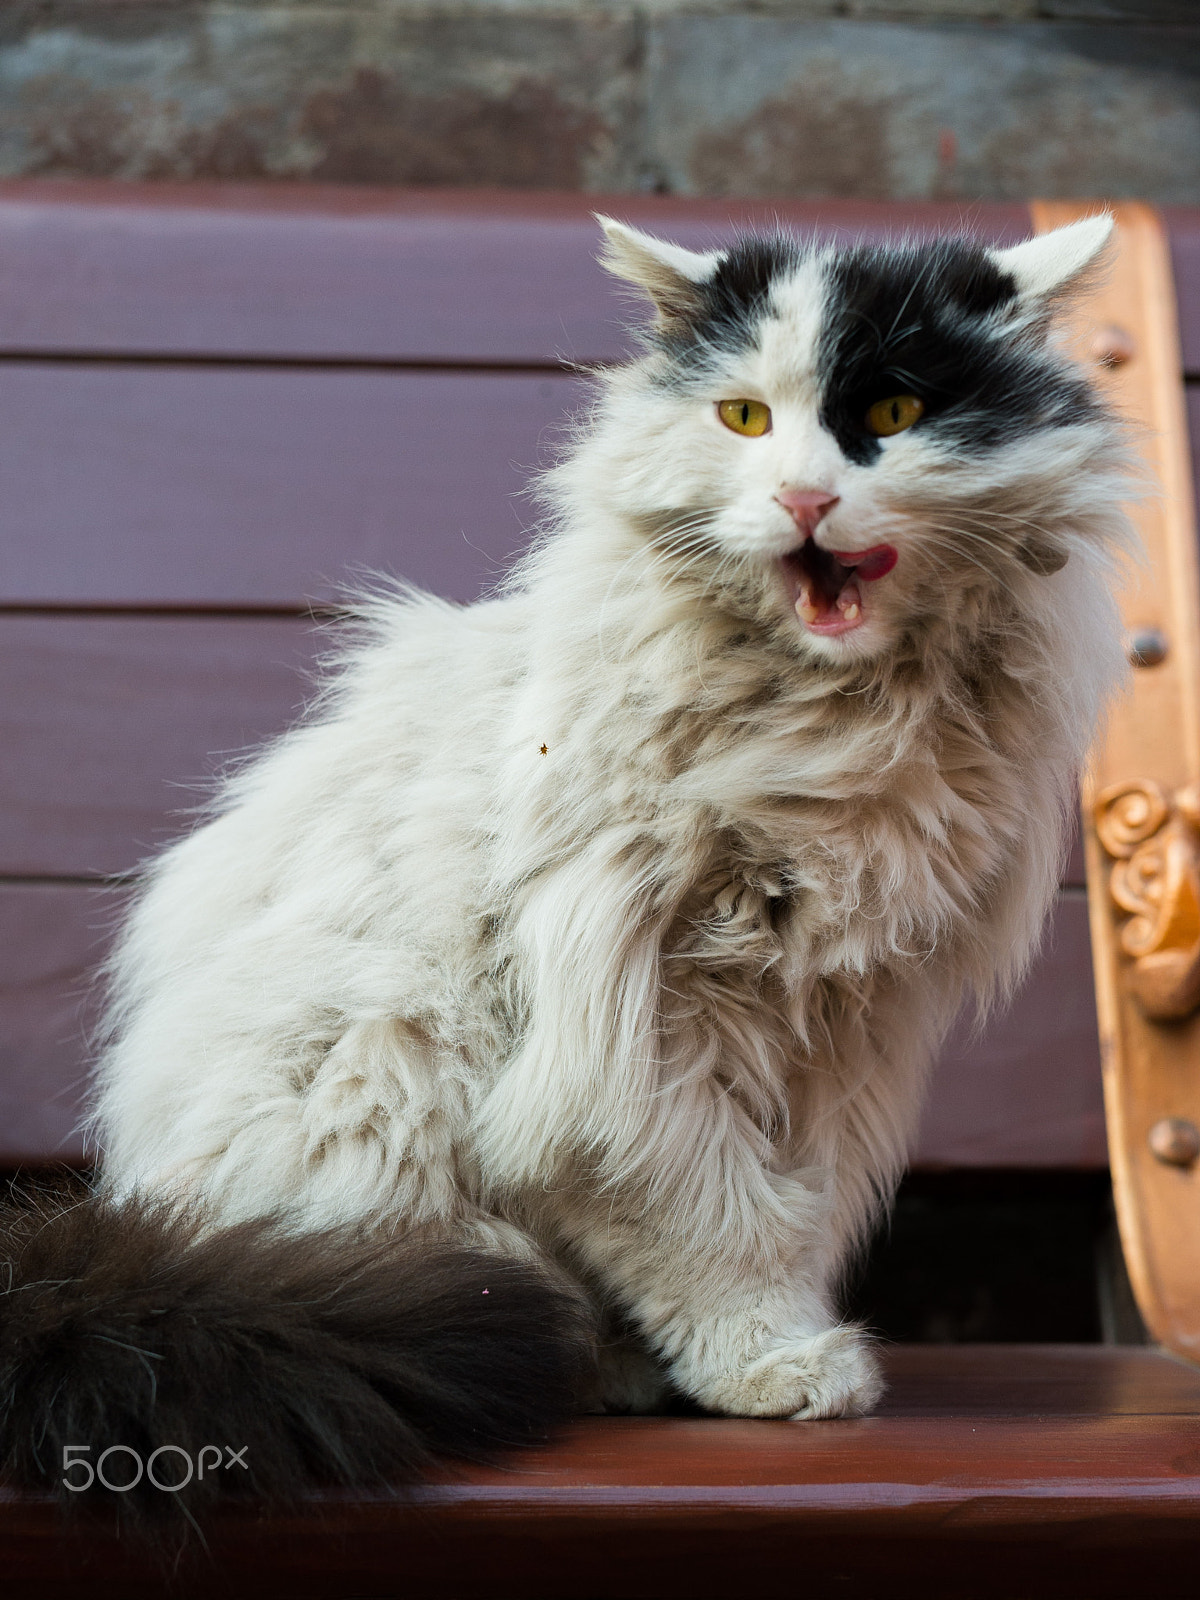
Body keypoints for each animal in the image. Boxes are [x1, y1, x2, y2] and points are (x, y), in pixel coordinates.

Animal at [0, 216, 1132, 1523]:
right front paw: (772, 1361)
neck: (833, 722)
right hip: (383, 1063)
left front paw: (758, 1351)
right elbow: (710, 1215)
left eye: (894, 412)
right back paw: (586, 1357)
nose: (803, 496)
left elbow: (791, 1200)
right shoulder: (630, 1016)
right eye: (745, 419)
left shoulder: (843, 1028)